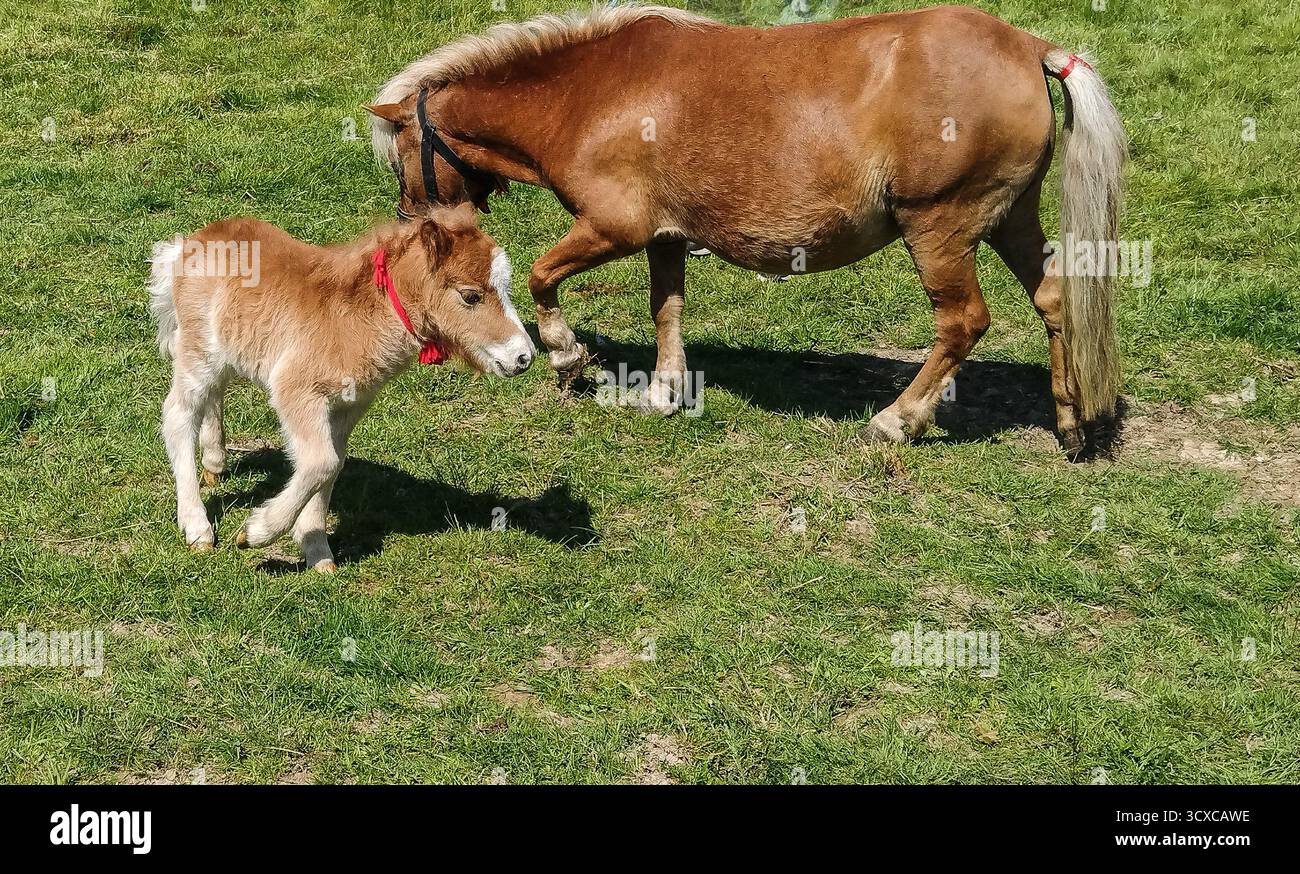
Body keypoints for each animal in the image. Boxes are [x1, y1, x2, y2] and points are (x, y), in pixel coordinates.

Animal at [148, 203, 535, 570]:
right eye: (471, 296)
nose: (523, 357)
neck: (354, 323)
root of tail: (187, 244)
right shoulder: (297, 390)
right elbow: (321, 462)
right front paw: (256, 532)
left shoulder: (350, 404)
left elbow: (332, 463)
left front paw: (317, 552)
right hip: (198, 352)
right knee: (179, 414)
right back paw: (197, 527)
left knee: (214, 394)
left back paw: (215, 463)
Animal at [367, 3, 1126, 456]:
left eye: (400, 156)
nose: (412, 224)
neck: (584, 95)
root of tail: (1028, 46)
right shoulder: (665, 237)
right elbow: (666, 308)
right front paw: (663, 393)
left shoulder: (614, 228)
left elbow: (540, 277)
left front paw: (565, 356)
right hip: (1010, 219)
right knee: (1054, 300)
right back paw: (1070, 424)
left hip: (940, 228)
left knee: (963, 322)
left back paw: (898, 419)